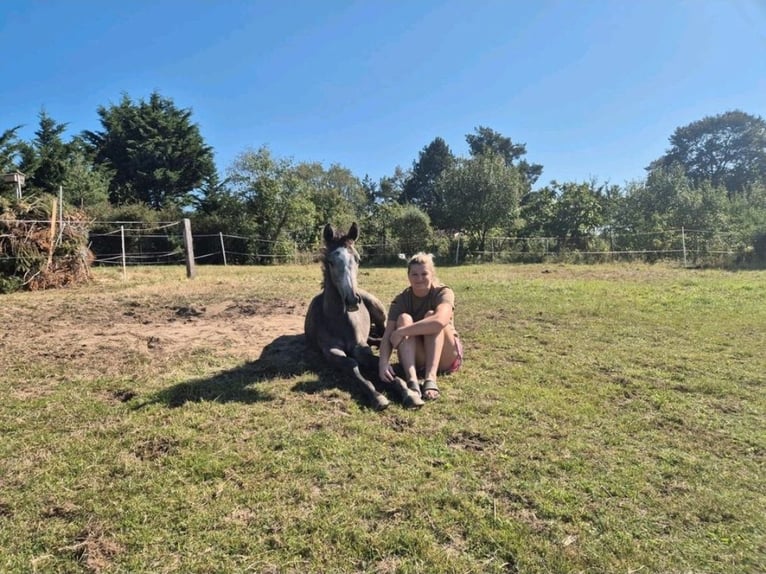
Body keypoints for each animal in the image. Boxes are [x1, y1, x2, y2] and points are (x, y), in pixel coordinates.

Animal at [306, 223, 426, 412]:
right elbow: (353, 366)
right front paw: (378, 396)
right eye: (331, 262)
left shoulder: (360, 348)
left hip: (379, 312)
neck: (337, 320)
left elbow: (378, 363)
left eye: (357, 259)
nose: (352, 300)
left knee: (384, 333)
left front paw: (409, 393)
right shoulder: (331, 351)